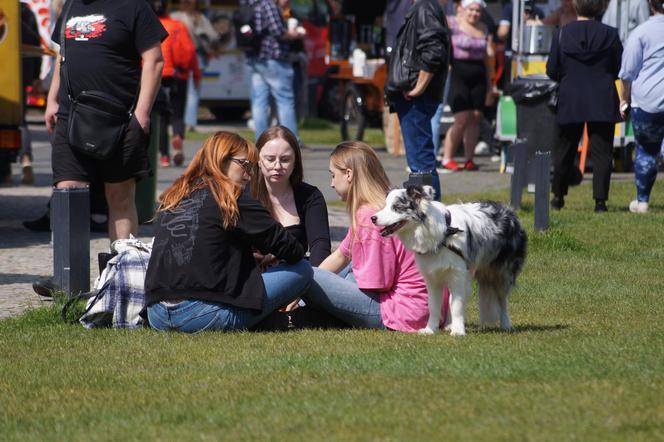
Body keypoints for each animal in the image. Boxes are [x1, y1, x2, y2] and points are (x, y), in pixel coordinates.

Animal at [370, 186, 528, 334]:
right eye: (385, 205)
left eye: (396, 207)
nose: (373, 218)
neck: (442, 234)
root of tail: (509, 212)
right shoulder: (432, 278)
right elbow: (434, 306)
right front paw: (430, 329)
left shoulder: (457, 274)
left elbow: (457, 304)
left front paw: (458, 331)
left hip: (501, 273)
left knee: (502, 301)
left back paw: (506, 324)